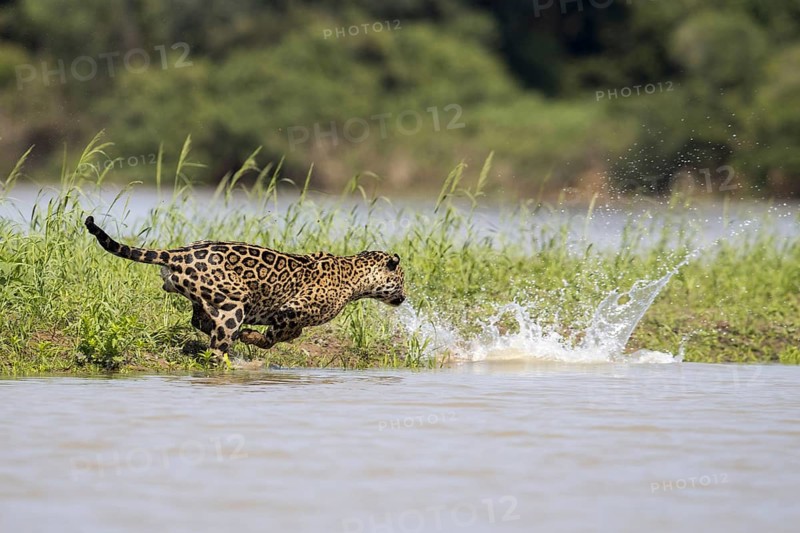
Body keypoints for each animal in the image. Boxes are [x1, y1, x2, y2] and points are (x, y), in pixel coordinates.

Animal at [84, 216, 405, 363]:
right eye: (402, 281)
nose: (404, 298)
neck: (355, 275)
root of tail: (177, 253)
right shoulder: (292, 310)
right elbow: (276, 337)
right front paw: (253, 337)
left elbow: (289, 334)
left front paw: (250, 335)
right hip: (234, 303)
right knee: (216, 346)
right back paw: (228, 353)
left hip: (209, 296)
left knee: (198, 319)